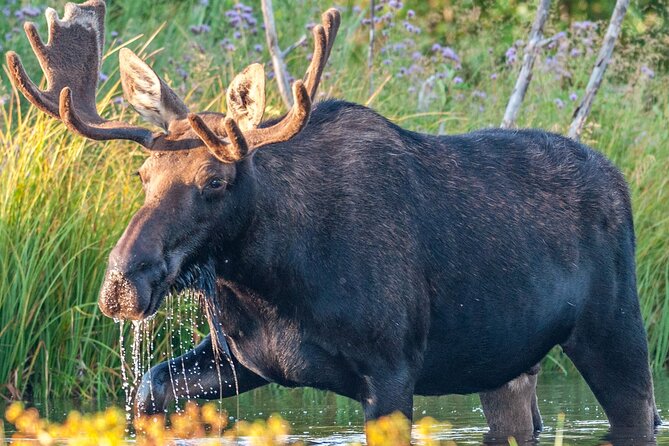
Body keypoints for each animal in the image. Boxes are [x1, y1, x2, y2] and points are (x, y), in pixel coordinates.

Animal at [7, 0, 660, 440]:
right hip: (506, 364)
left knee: (641, 412)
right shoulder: (246, 358)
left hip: (615, 330)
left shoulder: (393, 367)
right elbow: (151, 387)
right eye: (143, 175)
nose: (123, 282)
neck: (272, 279)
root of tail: (620, 179)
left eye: (215, 181)